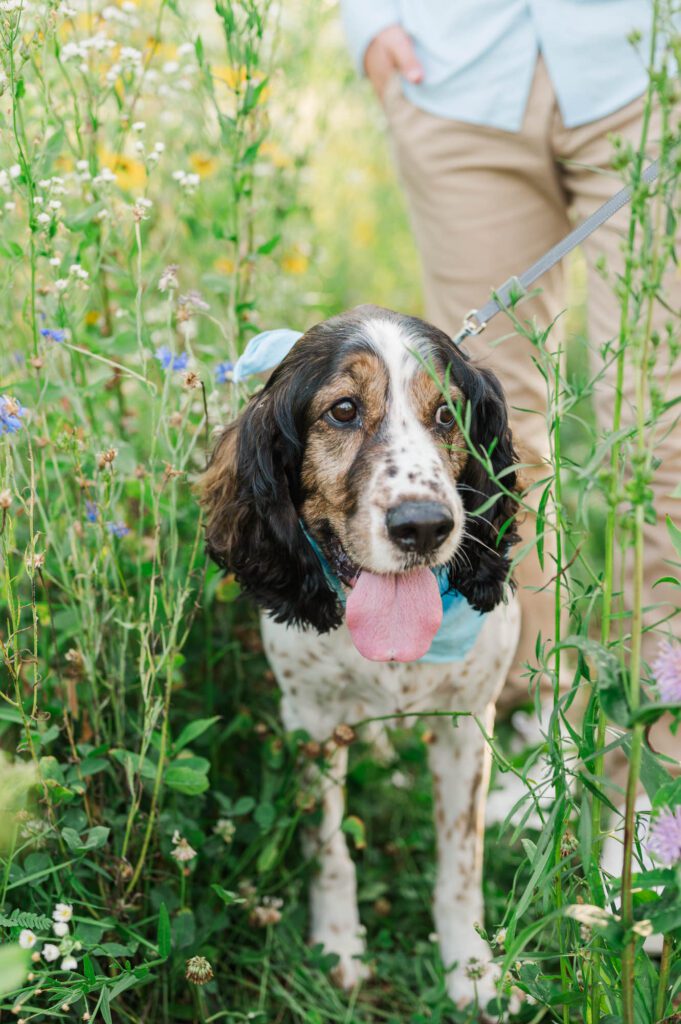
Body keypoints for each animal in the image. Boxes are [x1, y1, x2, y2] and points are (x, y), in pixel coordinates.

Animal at [199, 305, 518, 1015]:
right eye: (343, 410)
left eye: (448, 414)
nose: (424, 526)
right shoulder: (312, 721)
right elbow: (329, 848)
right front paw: (339, 948)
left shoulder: (466, 723)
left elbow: (462, 861)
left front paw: (470, 969)